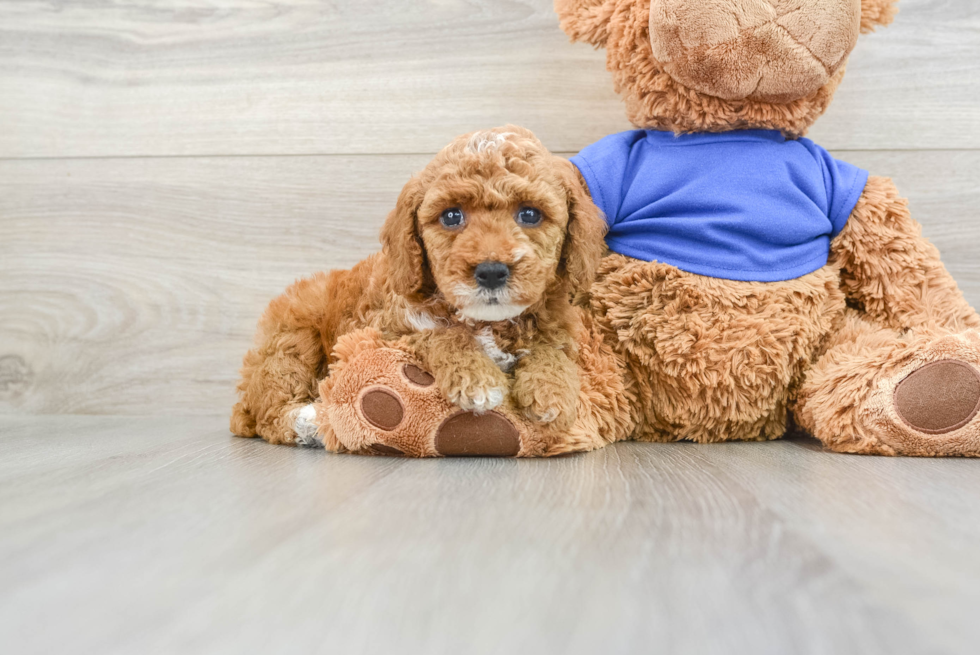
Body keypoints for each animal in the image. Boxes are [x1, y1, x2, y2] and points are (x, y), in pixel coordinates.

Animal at [233, 126, 608, 448]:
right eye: (452, 216)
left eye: (530, 214)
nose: (490, 272)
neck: (489, 322)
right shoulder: (387, 329)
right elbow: (440, 333)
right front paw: (476, 378)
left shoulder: (557, 325)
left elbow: (553, 349)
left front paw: (551, 390)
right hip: (293, 340)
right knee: (271, 410)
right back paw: (309, 422)